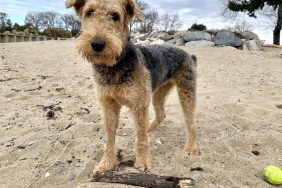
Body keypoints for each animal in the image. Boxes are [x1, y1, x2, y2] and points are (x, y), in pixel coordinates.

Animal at [66, 0, 198, 174]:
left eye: (115, 15)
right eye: (90, 12)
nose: (97, 44)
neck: (115, 66)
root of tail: (189, 55)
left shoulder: (139, 105)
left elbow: (140, 139)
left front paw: (142, 162)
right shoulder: (108, 105)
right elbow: (110, 137)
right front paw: (106, 163)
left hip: (186, 91)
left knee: (191, 122)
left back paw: (191, 148)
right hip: (158, 93)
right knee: (161, 114)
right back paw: (150, 127)